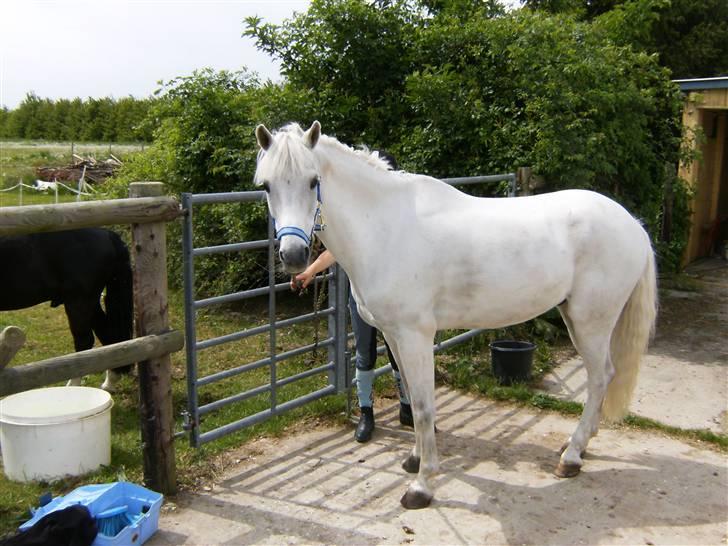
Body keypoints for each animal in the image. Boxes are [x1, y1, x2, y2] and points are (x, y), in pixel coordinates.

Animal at [0, 227, 134, 388]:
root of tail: (107, 234)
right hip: (90, 303)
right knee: (108, 334)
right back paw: (110, 382)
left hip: (78, 302)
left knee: (84, 341)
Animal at [256, 121, 660, 508]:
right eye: (266, 186)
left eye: (314, 181)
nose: (294, 256)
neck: (386, 227)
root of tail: (633, 225)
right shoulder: (394, 337)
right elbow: (413, 396)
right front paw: (415, 460)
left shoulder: (415, 337)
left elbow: (423, 407)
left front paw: (422, 487)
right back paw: (578, 445)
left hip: (590, 322)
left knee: (600, 377)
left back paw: (572, 457)